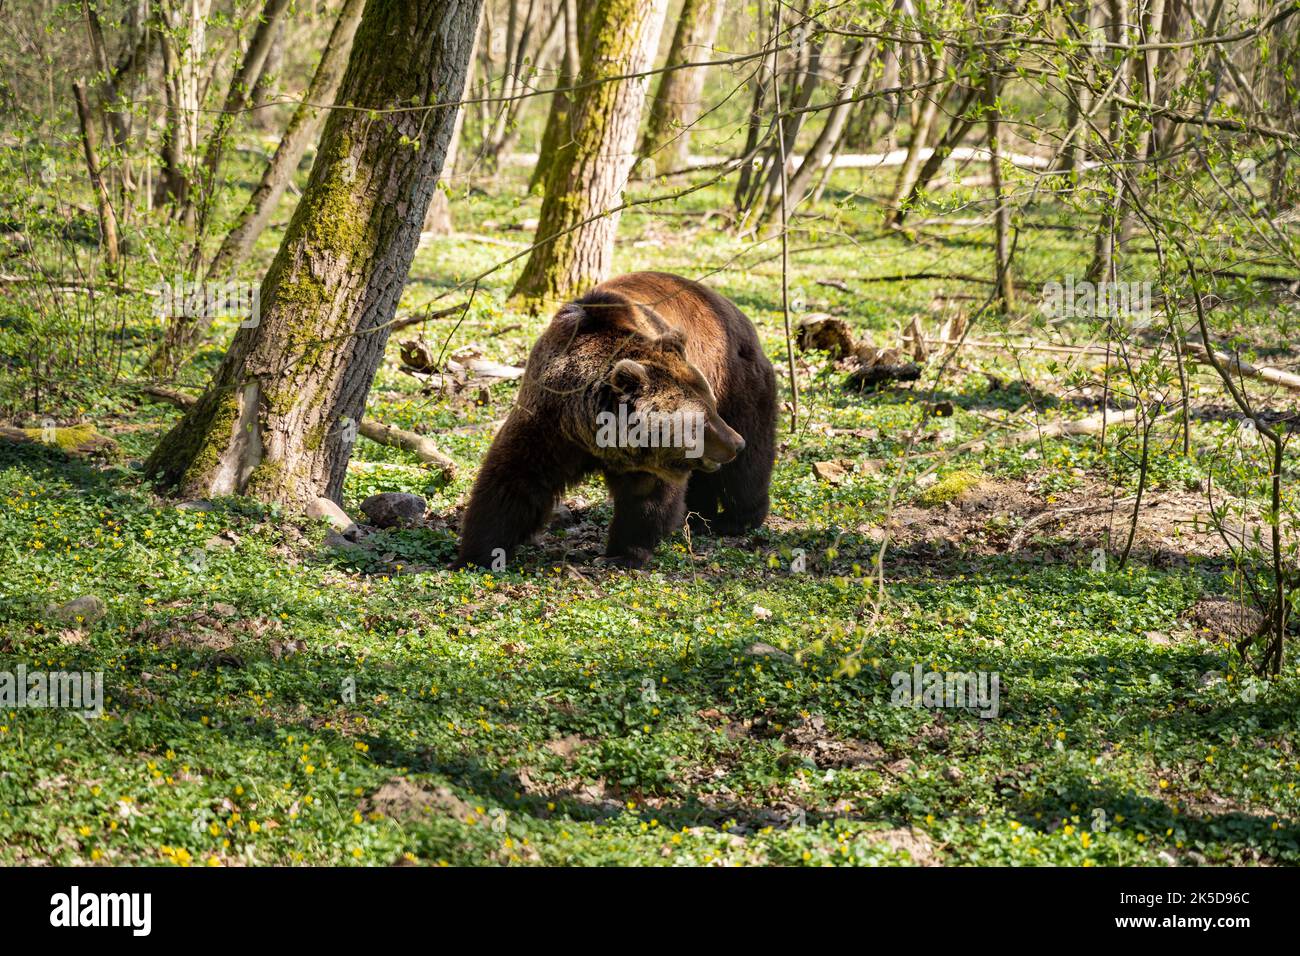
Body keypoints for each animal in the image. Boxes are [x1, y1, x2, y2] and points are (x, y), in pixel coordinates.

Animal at [457, 270, 774, 567]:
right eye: (700, 421)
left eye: (710, 408)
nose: (735, 443)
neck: (593, 434)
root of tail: (733, 309)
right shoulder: (549, 426)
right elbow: (513, 480)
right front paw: (476, 554)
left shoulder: (650, 458)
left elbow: (646, 496)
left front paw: (623, 553)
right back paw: (697, 516)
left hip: (736, 381)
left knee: (749, 464)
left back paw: (736, 519)